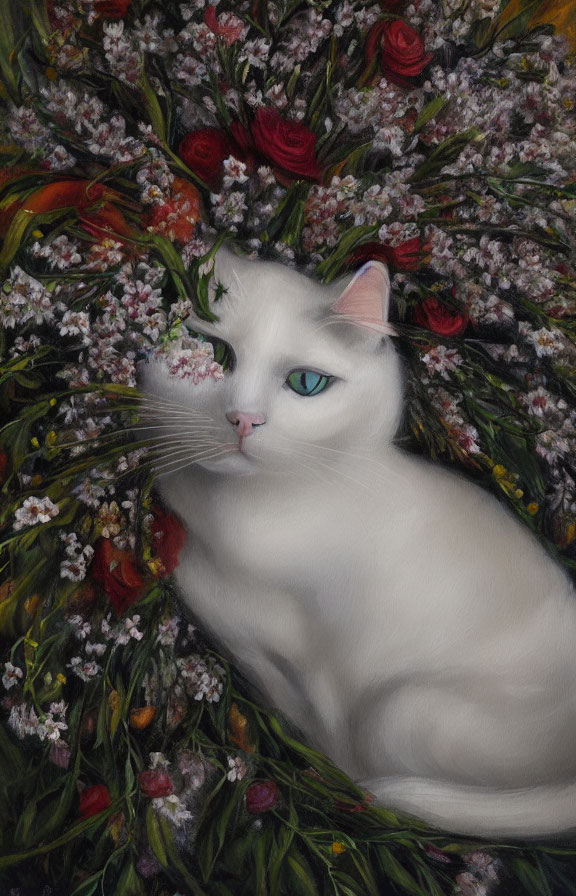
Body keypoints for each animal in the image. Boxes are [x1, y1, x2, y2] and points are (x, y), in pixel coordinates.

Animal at [138, 247, 576, 840]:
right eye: (213, 354)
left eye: (305, 382)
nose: (243, 419)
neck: (249, 528)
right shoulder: (249, 648)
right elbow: (294, 705)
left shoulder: (330, 663)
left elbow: (333, 727)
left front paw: (337, 777)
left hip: (408, 714)